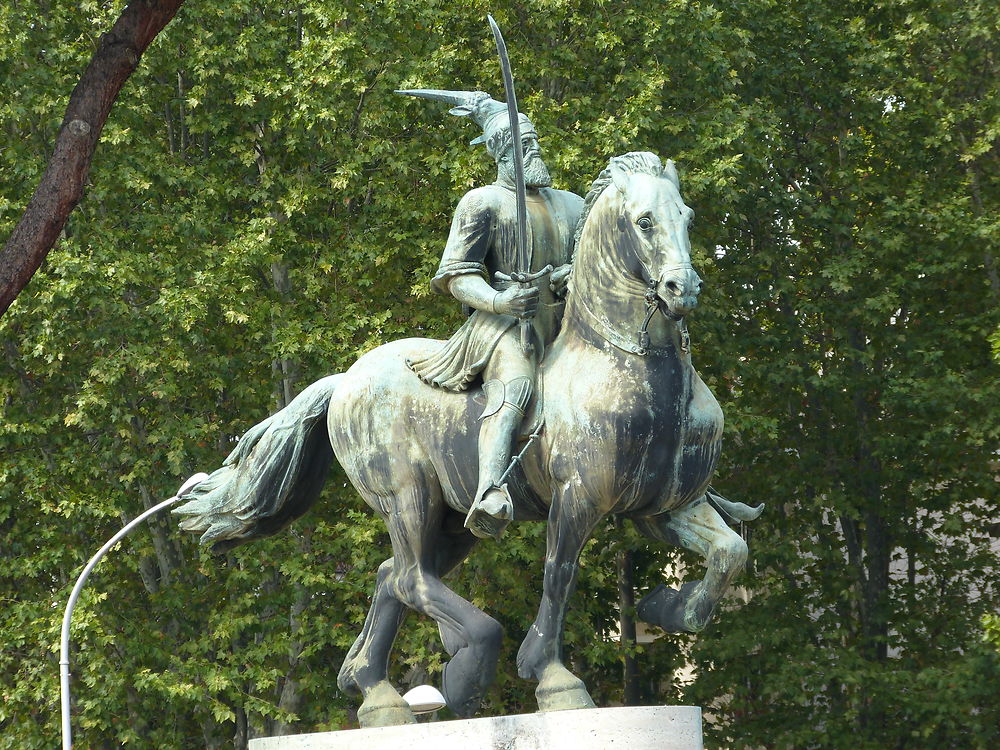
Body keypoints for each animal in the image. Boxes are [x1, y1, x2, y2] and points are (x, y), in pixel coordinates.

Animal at [176, 150, 760, 732]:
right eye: (643, 221)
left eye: (687, 216)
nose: (683, 289)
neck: (628, 363)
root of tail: (345, 379)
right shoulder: (578, 497)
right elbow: (558, 575)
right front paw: (552, 676)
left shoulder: (667, 505)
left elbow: (730, 553)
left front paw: (666, 606)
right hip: (406, 495)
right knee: (411, 577)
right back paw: (465, 665)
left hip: (454, 516)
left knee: (392, 575)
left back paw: (377, 692)